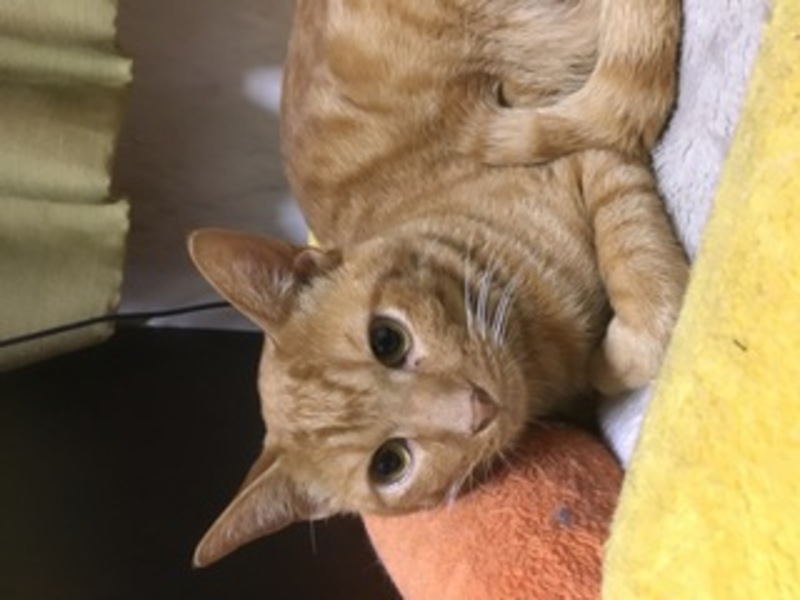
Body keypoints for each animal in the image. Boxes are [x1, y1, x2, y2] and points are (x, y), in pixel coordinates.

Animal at [189, 0, 687, 567]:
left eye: (386, 339)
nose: (476, 409)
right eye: (389, 464)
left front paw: (618, 357)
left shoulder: (591, 158)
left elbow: (638, 271)